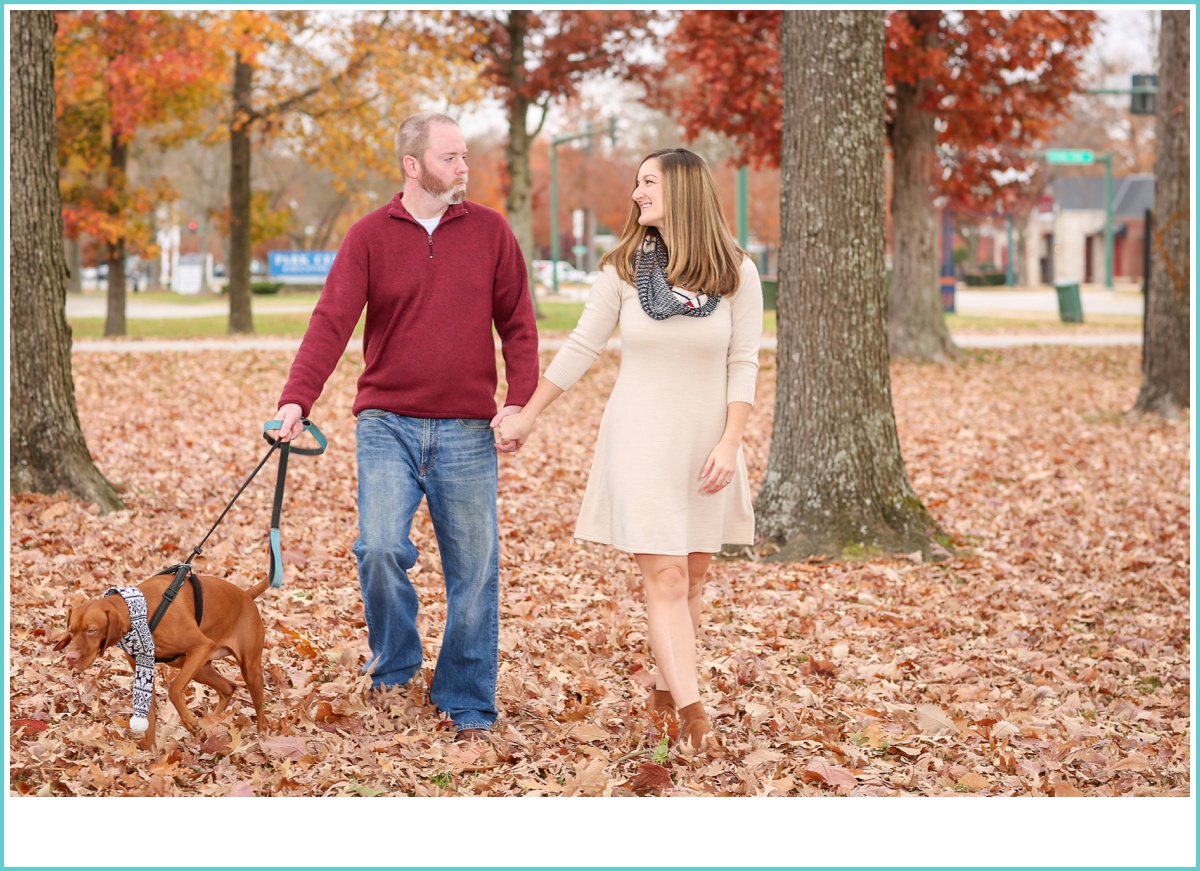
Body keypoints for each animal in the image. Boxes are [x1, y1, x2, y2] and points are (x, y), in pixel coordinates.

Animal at [54, 573, 270, 748]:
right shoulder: (143, 672)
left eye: (92, 630)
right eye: (71, 631)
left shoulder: (202, 646)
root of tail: (245, 595)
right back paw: (213, 723)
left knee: (259, 708)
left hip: (248, 668)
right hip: (200, 669)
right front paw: (151, 757)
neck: (139, 612)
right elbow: (148, 719)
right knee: (228, 687)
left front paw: (189, 721)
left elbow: (174, 689)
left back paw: (263, 737)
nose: (70, 657)